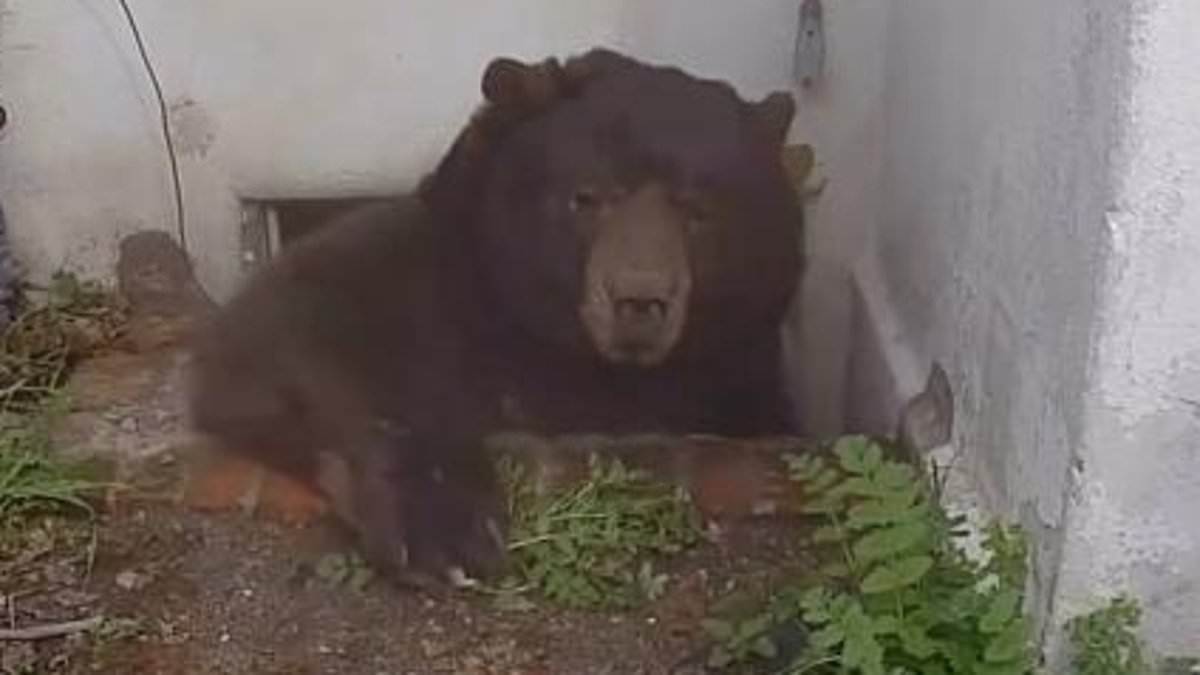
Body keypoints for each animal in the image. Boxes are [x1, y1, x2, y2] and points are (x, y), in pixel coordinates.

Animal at [186, 47, 804, 587]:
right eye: (586, 197)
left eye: (698, 210)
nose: (639, 298)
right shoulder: (429, 275)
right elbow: (282, 324)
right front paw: (441, 528)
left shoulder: (734, 378)